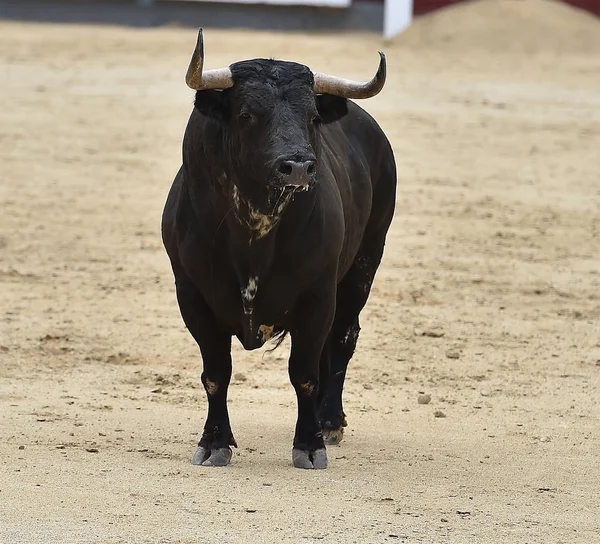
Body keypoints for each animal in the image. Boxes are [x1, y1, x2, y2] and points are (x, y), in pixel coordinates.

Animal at [163, 28, 398, 468]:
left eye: (313, 117)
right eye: (246, 114)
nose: (299, 166)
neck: (253, 232)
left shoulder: (317, 295)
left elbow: (304, 373)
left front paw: (309, 444)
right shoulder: (192, 295)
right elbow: (216, 373)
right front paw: (214, 442)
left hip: (364, 264)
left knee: (343, 338)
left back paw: (330, 420)